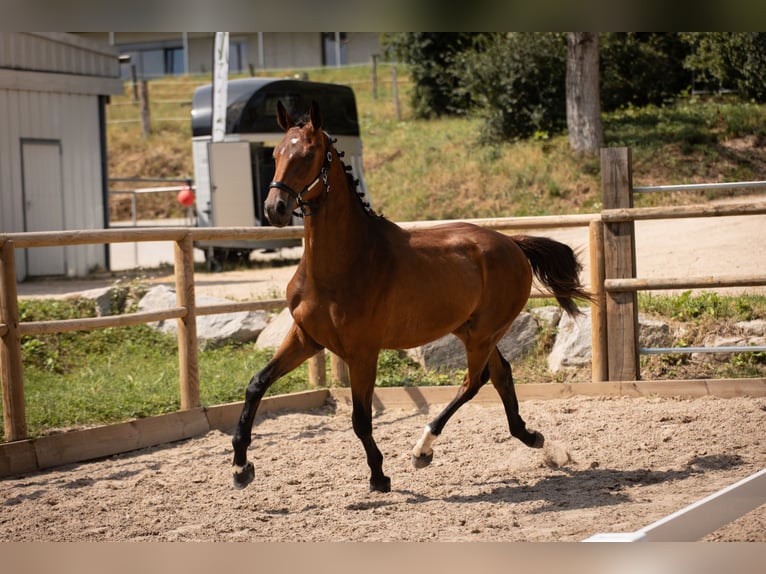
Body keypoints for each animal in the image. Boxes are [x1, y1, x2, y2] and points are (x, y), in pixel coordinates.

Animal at [231, 101, 592, 492]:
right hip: (471, 329)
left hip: (482, 333)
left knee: (473, 381)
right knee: (500, 374)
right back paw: (530, 436)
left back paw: (423, 449)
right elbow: (256, 385)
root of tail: (512, 244)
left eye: (309, 154)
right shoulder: (306, 338)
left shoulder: (362, 352)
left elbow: (360, 418)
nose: (275, 208)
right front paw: (241, 468)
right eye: (276, 153)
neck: (341, 265)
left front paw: (379, 476)